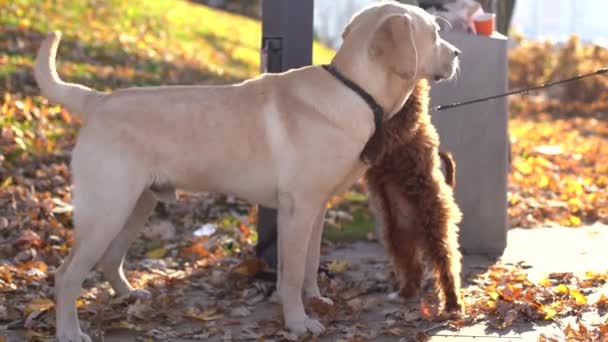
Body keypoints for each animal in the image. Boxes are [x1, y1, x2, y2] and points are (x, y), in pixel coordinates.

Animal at [366, 79, 460, 312]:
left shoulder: (408, 109)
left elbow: (393, 126)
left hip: (434, 227)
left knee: (446, 264)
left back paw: (452, 303)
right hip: (397, 236)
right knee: (413, 267)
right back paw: (405, 293)